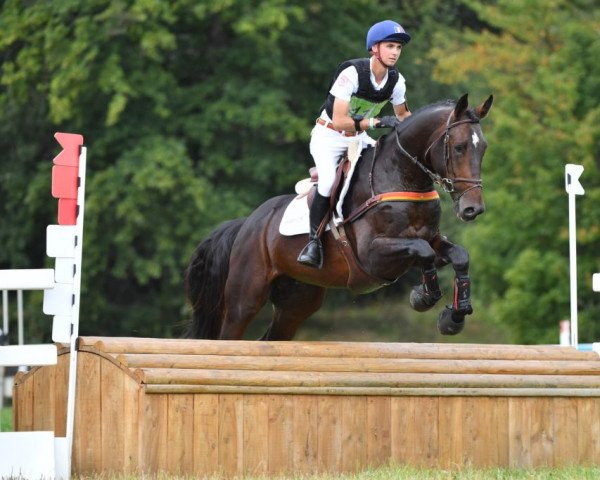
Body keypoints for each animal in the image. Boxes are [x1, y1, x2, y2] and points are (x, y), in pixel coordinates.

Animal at [183, 94, 492, 340]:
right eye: (460, 147)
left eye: (484, 147)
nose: (473, 209)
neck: (402, 177)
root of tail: (247, 224)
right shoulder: (374, 255)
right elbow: (423, 251)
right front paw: (423, 297)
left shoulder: (429, 241)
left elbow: (458, 255)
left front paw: (454, 316)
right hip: (245, 297)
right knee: (229, 334)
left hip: (297, 301)